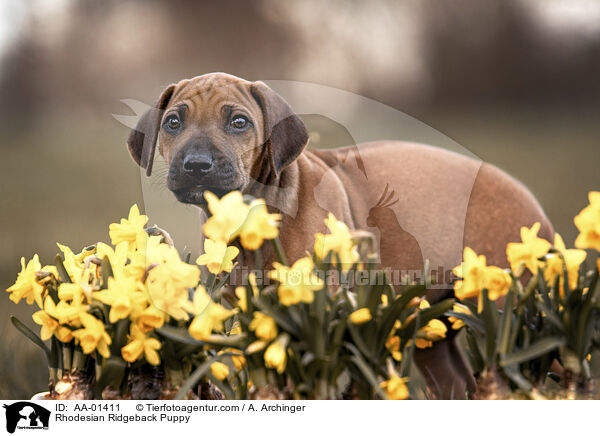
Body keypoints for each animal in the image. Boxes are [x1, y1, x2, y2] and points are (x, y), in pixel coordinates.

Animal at [125, 71, 552, 398]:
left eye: (239, 123)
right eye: (173, 123)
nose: (197, 165)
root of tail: (531, 200)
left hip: (508, 306)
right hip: (436, 328)